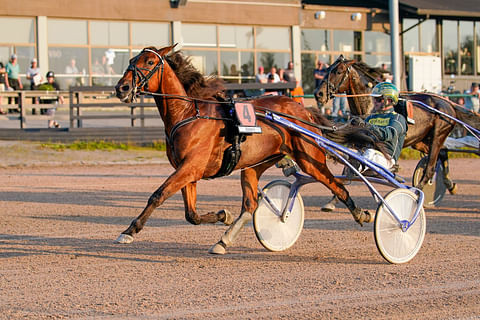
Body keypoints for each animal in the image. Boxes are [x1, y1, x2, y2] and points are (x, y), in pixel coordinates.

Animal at [113, 45, 378, 255]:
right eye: (131, 60)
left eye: (149, 62)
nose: (122, 88)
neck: (188, 114)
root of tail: (303, 110)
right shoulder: (188, 171)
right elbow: (192, 215)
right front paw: (223, 215)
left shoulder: (191, 167)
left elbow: (158, 195)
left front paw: (129, 231)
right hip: (255, 164)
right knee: (250, 205)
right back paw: (223, 241)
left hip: (311, 160)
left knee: (337, 185)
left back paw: (361, 213)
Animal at [316, 55, 478, 192]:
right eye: (327, 69)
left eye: (338, 71)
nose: (318, 94)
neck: (370, 105)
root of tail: (448, 104)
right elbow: (349, 168)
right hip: (419, 140)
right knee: (443, 151)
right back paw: (450, 184)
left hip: (439, 133)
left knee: (431, 166)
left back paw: (417, 191)